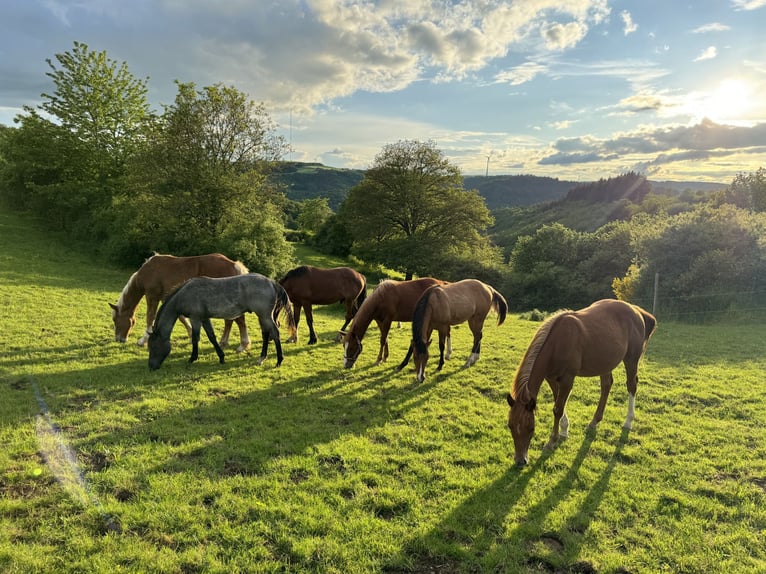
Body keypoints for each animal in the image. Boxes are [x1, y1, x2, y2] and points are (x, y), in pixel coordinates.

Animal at [110, 254, 252, 354]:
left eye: (115, 320)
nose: (119, 339)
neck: (149, 271)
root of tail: (234, 264)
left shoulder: (152, 296)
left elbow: (150, 318)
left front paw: (142, 340)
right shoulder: (165, 298)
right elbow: (181, 318)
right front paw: (191, 335)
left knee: (239, 320)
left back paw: (242, 345)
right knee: (230, 321)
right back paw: (225, 342)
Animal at [148, 276, 296, 374]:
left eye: (153, 346)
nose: (151, 366)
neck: (184, 295)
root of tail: (272, 282)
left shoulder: (195, 318)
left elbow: (195, 338)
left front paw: (192, 358)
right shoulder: (204, 318)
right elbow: (212, 337)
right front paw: (221, 357)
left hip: (264, 315)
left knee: (274, 333)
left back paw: (279, 360)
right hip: (262, 316)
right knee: (266, 334)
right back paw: (261, 358)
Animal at [508, 302, 656, 468]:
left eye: (531, 428)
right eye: (510, 426)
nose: (520, 461)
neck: (557, 342)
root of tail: (637, 311)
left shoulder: (567, 379)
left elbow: (558, 409)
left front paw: (552, 441)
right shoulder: (551, 378)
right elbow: (558, 404)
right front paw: (564, 430)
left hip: (631, 360)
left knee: (631, 385)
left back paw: (628, 421)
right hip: (605, 362)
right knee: (606, 385)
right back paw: (594, 421)